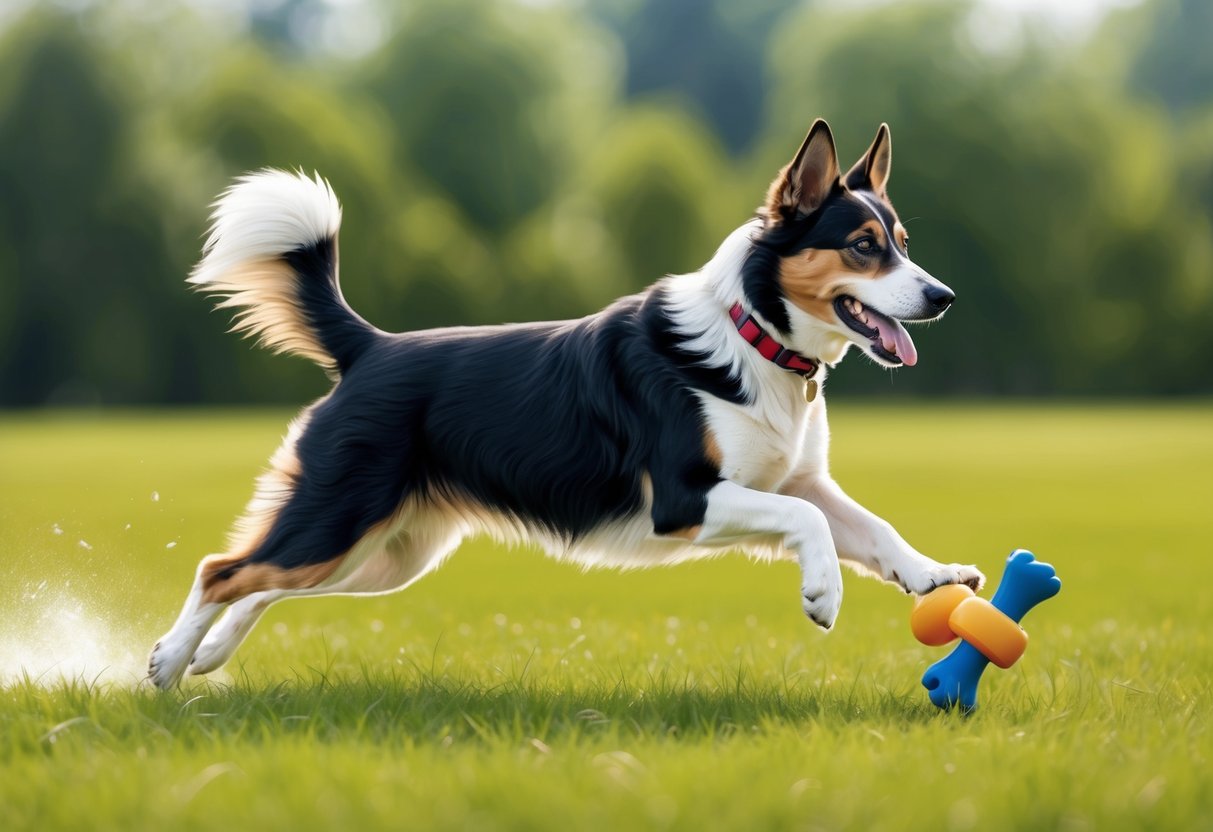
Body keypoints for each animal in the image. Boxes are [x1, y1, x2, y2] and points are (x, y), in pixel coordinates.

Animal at [149, 118, 984, 688]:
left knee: (261, 581)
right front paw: (821, 593)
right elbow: (810, 525)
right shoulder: (686, 498)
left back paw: (210, 656)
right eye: (863, 246)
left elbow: (870, 526)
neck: (755, 333)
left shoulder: (794, 479)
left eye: (901, 242)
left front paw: (932, 576)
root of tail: (370, 346)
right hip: (341, 519)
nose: (943, 297)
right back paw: (164, 663)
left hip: (384, 553)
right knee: (221, 569)